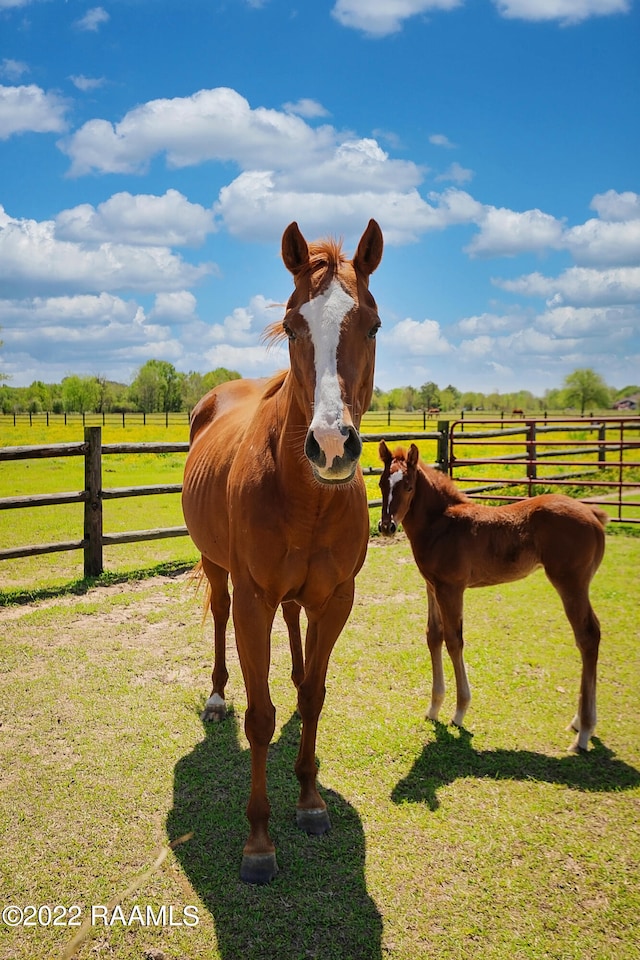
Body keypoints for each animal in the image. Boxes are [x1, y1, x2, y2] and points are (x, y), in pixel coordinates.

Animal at [182, 221, 388, 880]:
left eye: (372, 325)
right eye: (295, 325)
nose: (331, 444)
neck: (304, 496)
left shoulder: (338, 598)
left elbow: (314, 698)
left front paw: (310, 801)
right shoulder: (254, 600)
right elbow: (262, 715)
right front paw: (258, 841)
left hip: (304, 598)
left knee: (297, 634)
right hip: (220, 572)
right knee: (220, 620)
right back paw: (217, 696)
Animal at [378, 440, 608, 752]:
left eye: (409, 486)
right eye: (381, 483)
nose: (386, 527)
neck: (442, 525)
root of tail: (593, 516)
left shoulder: (451, 588)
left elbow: (454, 640)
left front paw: (459, 711)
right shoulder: (432, 586)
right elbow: (433, 636)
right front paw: (434, 708)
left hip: (571, 583)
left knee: (587, 636)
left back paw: (583, 732)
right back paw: (579, 724)